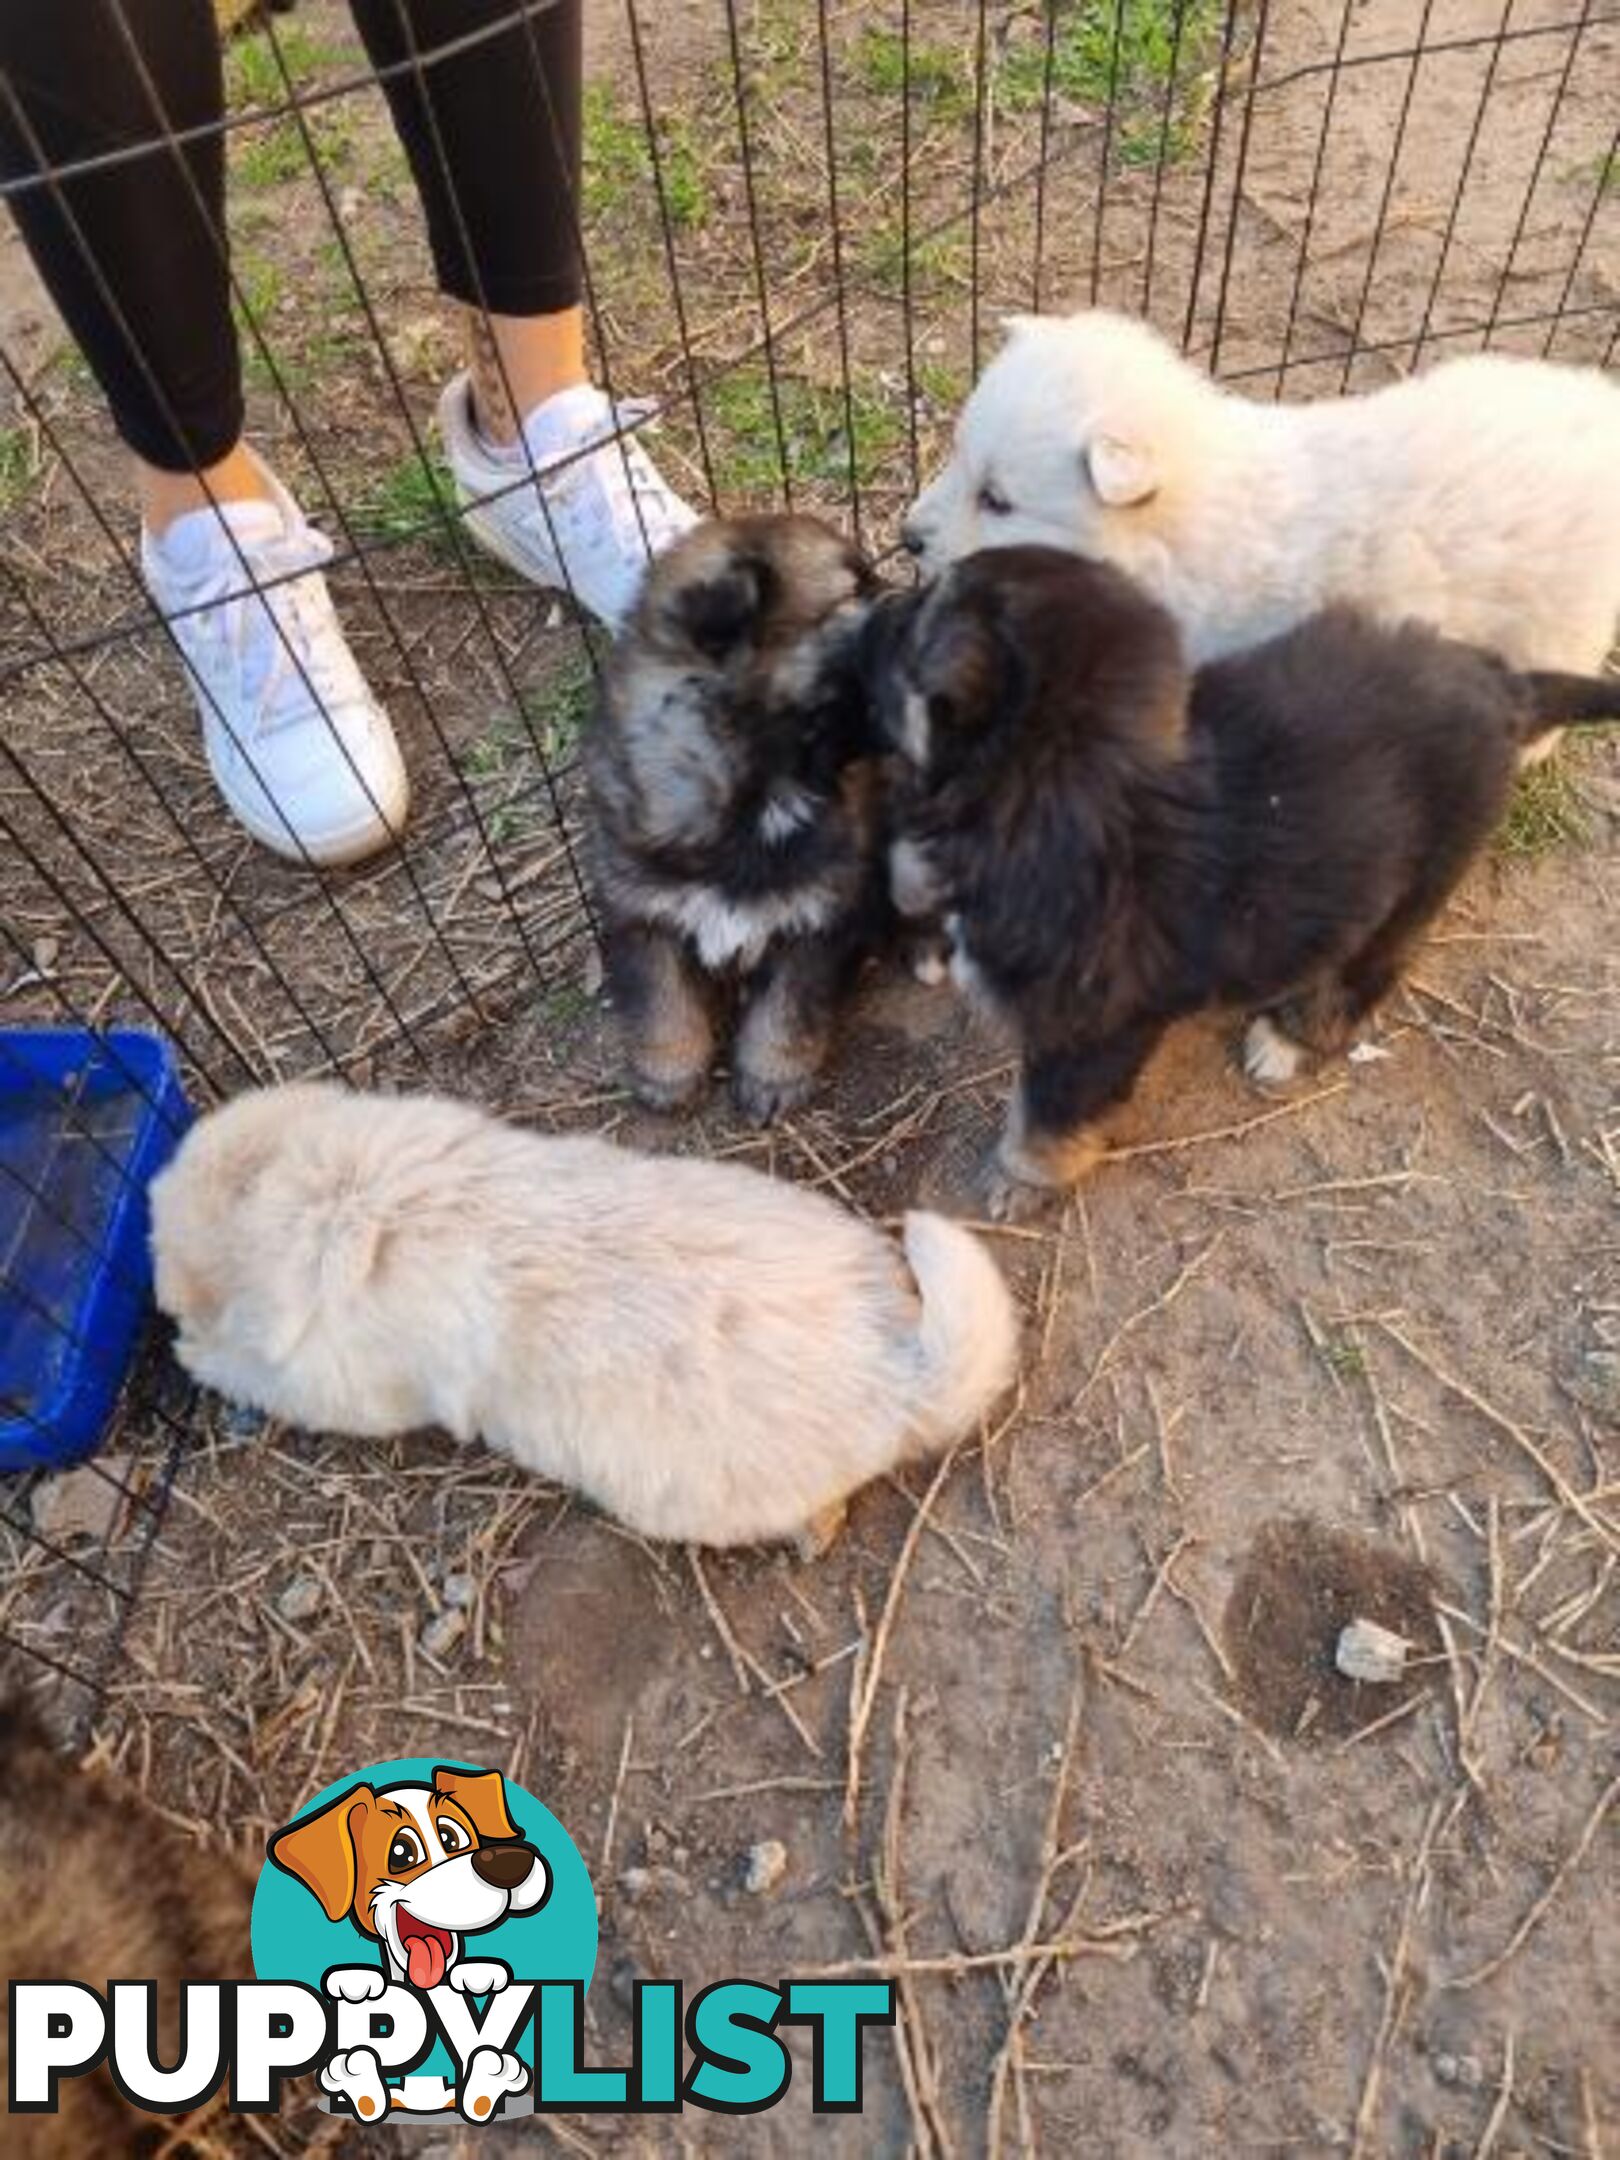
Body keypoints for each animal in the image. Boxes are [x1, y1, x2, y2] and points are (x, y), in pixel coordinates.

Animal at [149, 1088, 1015, 1546]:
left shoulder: (348, 1387)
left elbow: (259, 1373)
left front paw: (193, 1351)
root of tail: (896, 1368)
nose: (161, 1311)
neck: (326, 1191)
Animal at [587, 511, 889, 1123]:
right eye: (854, 591)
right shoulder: (641, 911)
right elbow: (662, 1000)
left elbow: (789, 1008)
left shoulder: (821, 916)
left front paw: (772, 1078)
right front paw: (669, 1074)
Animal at [864, 540, 1620, 1218]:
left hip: (1417, 880)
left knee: (1367, 970)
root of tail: (1505, 685)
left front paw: (1021, 1181)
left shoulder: (1091, 1033)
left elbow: (1046, 1116)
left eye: (915, 619)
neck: (1065, 783)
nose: (869, 613)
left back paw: (1288, 1040)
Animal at [907, 306, 1620, 673]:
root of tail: (1602, 410)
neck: (1170, 534)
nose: (906, 537)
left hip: (1555, 620)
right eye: (955, 455)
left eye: (998, 501)